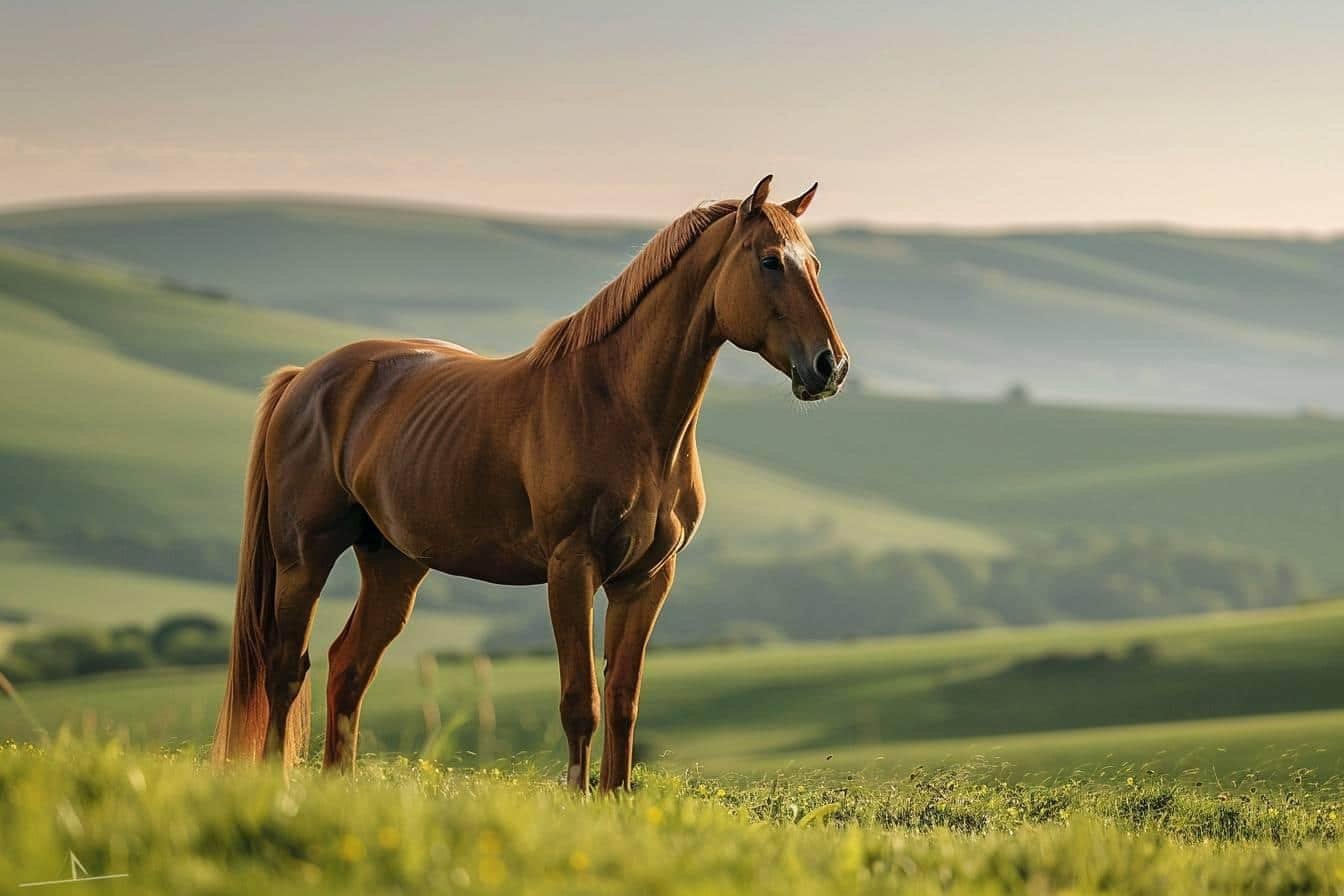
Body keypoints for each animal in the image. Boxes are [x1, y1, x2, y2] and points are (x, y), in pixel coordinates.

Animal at [212, 174, 849, 789]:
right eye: (769, 261)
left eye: (815, 264)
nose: (831, 366)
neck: (621, 406)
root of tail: (305, 379)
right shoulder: (571, 568)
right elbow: (580, 702)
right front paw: (577, 797)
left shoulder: (646, 579)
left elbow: (622, 701)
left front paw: (613, 798)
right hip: (304, 559)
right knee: (285, 670)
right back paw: (276, 784)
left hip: (393, 564)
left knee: (348, 669)